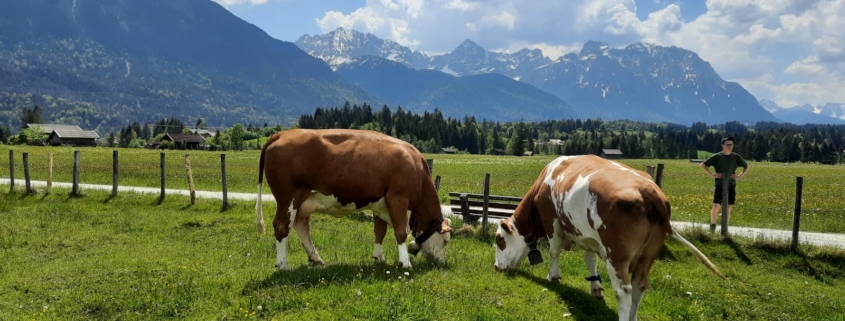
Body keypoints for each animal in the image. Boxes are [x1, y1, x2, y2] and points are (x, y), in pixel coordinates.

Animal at [254, 127, 452, 270]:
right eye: (445, 241)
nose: (441, 262)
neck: (416, 167)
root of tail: (282, 133)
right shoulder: (398, 198)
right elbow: (400, 232)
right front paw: (405, 263)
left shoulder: (380, 204)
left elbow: (380, 231)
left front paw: (379, 257)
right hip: (288, 198)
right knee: (282, 226)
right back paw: (283, 265)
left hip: (303, 201)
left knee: (301, 226)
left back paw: (316, 258)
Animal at [494, 154, 724, 318]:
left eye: (500, 240)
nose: (496, 267)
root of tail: (649, 190)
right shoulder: (589, 237)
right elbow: (590, 260)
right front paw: (595, 287)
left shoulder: (551, 222)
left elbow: (554, 251)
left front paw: (553, 277)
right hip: (648, 255)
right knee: (640, 287)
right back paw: (633, 317)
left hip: (617, 255)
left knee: (624, 291)